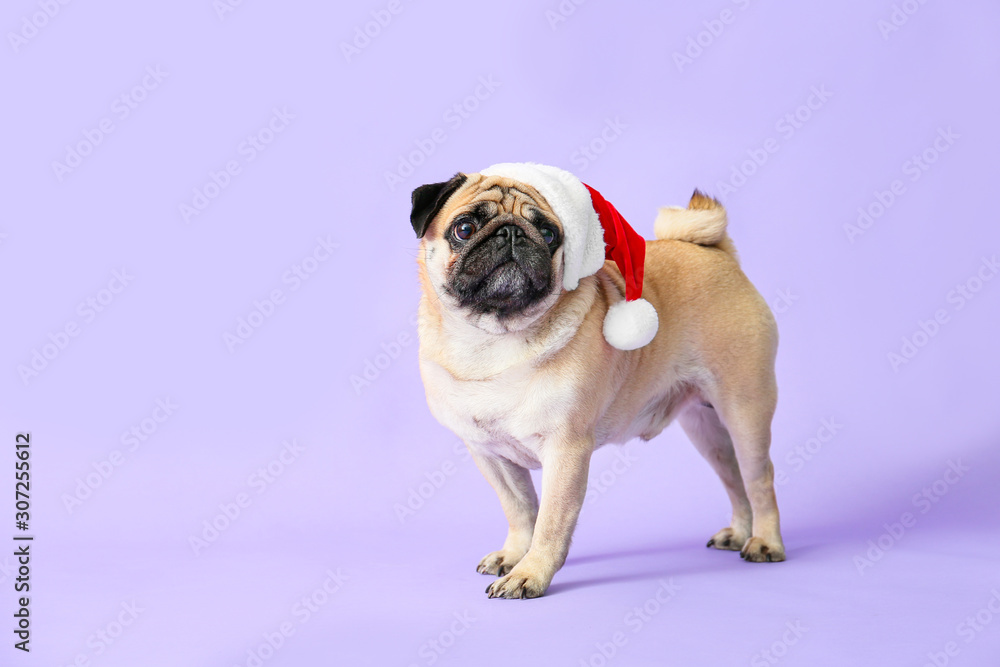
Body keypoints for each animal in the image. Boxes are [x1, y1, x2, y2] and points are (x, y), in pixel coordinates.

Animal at [410, 163, 784, 600]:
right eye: (465, 228)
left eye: (549, 234)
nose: (512, 233)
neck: (493, 340)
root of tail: (716, 253)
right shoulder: (490, 454)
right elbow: (520, 510)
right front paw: (515, 554)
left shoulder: (565, 450)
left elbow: (551, 520)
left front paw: (530, 573)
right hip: (707, 431)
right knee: (734, 481)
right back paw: (739, 533)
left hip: (745, 409)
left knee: (759, 479)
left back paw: (765, 542)